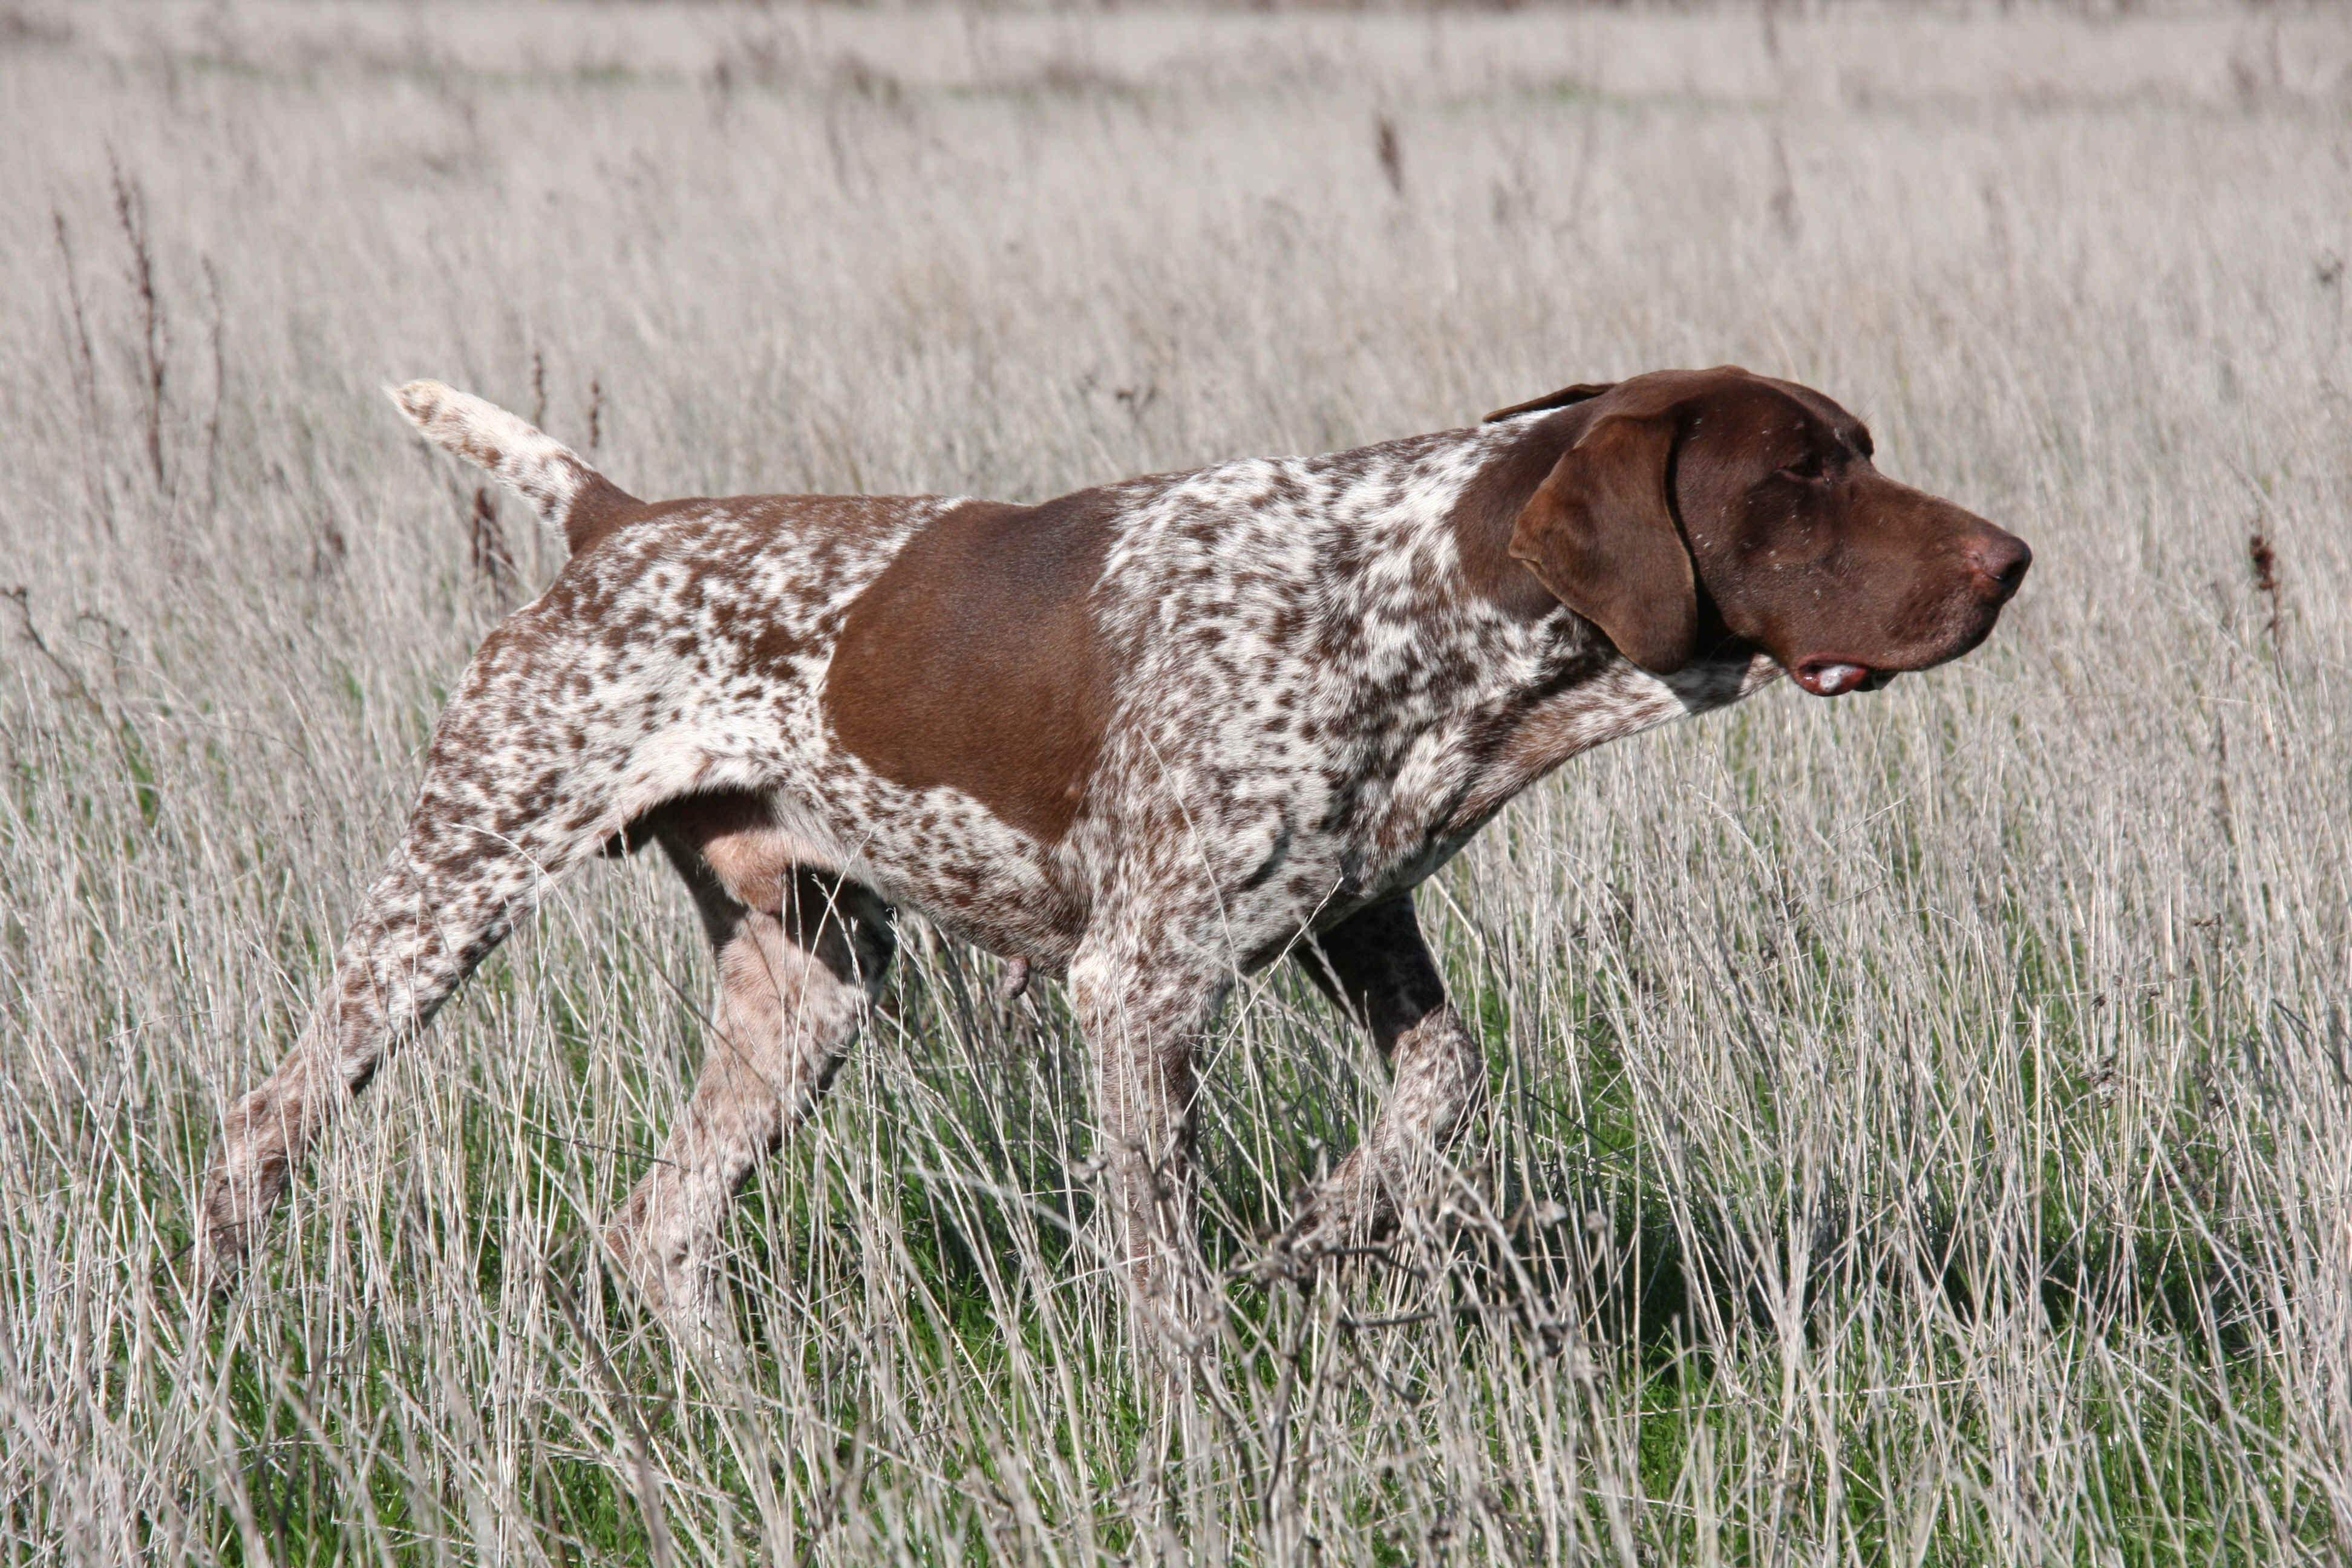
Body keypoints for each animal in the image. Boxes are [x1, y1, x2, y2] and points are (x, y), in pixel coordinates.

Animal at [197, 362, 2022, 1344]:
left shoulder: (1350, 920)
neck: (1424, 598)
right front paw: (1194, 1394)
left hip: (811, 985)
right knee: (260, 1132)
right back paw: (223, 1333)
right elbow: (1158, 1259)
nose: (2009, 560)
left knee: (655, 1225)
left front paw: (1325, 1232)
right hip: (455, 886)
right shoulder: (1139, 985)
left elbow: (1444, 1083)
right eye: (1800, 473)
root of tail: (617, 523)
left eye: (1858, 449)